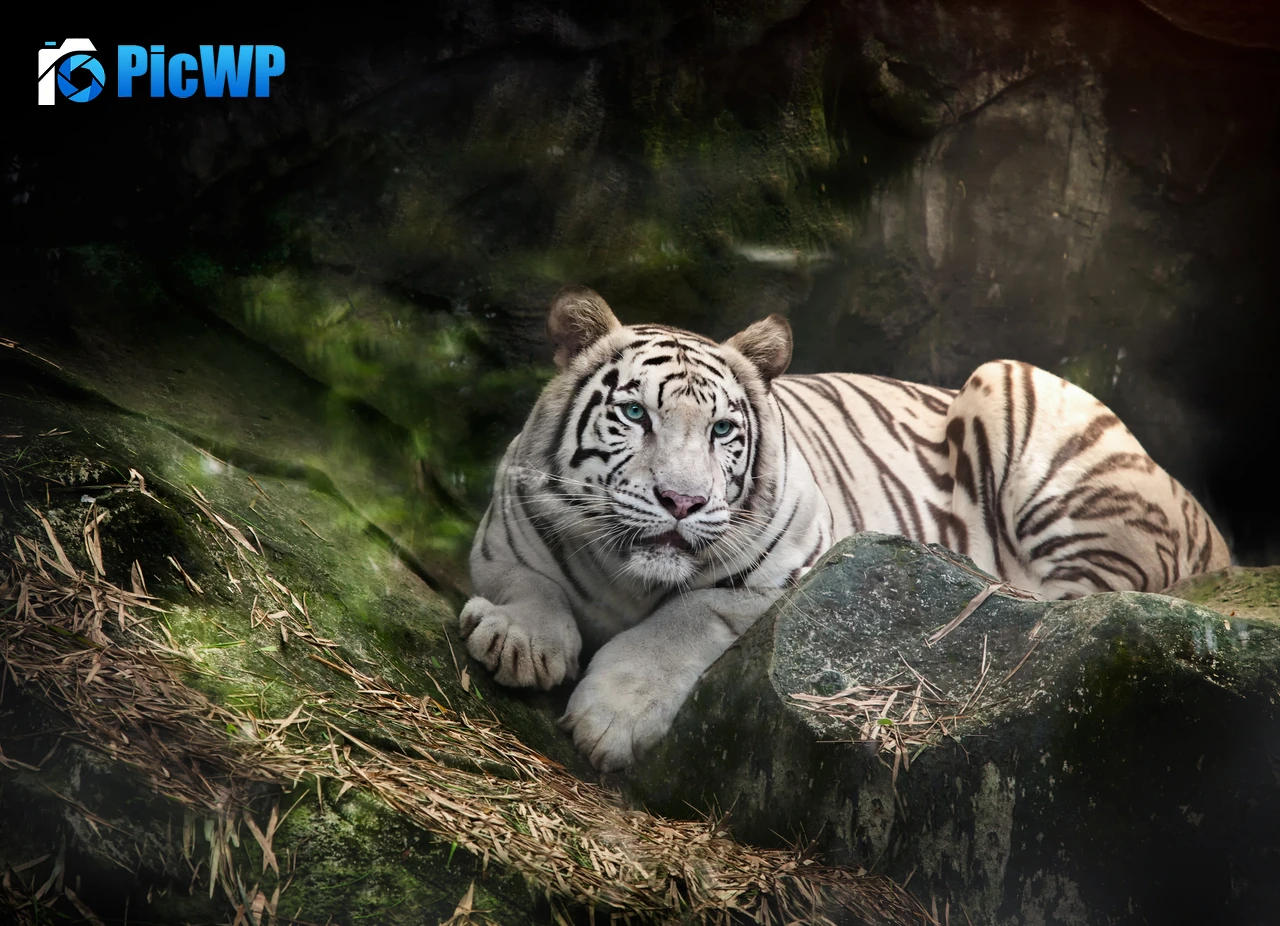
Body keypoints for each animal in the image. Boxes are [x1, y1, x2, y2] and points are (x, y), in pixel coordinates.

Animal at [459, 285, 1229, 771]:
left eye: (722, 430)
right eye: (635, 414)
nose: (682, 501)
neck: (629, 577)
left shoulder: (787, 568)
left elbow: (688, 616)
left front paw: (611, 718)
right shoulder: (502, 534)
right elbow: (526, 582)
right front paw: (519, 640)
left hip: (1024, 398)